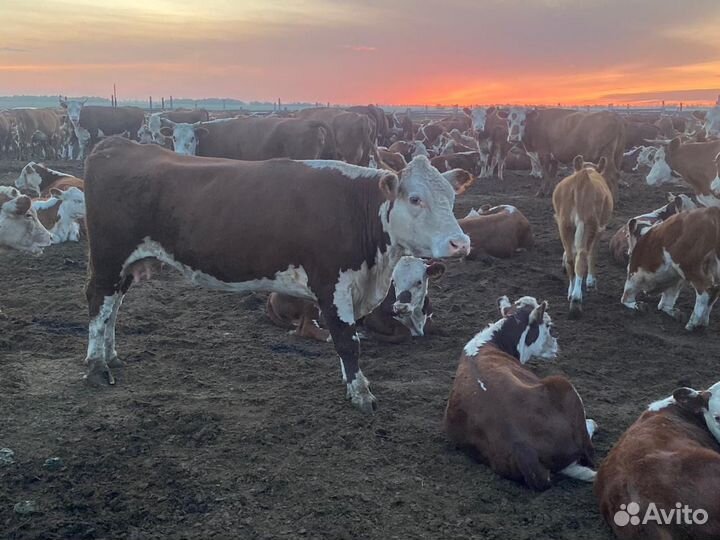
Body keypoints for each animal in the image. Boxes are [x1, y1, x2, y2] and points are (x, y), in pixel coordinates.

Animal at [83, 138, 471, 412]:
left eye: (452, 199)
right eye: (415, 198)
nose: (460, 242)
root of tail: (118, 145)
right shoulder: (331, 283)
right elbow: (348, 341)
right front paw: (361, 393)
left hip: (125, 265)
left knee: (113, 306)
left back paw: (111, 355)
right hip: (108, 257)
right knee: (98, 303)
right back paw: (96, 366)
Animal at [553, 156, 614, 318]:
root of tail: (582, 178)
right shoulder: (600, 229)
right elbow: (593, 253)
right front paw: (591, 281)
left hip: (565, 223)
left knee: (571, 257)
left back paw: (571, 292)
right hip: (589, 224)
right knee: (582, 257)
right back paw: (576, 300)